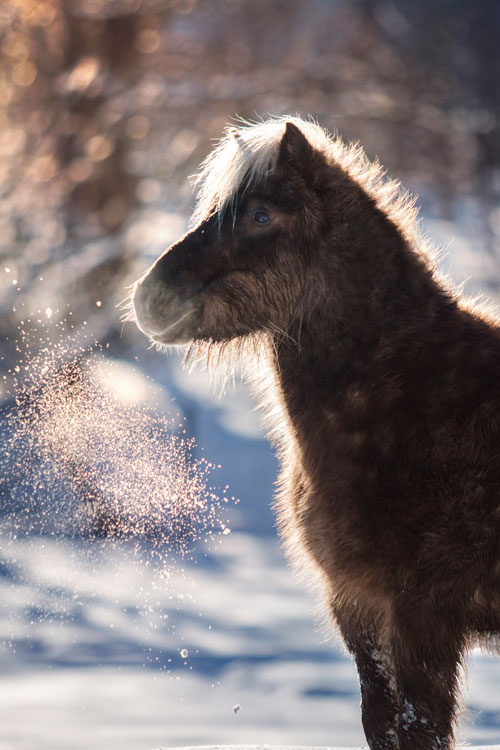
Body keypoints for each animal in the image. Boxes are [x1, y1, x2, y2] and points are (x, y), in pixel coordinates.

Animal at [131, 116, 500, 750]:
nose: (148, 298)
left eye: (261, 215)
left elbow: (419, 729)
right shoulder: (357, 606)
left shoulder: (423, 619)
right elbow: (381, 724)